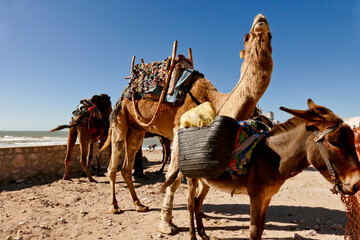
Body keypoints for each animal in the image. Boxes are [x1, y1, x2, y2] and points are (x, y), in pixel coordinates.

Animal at [106, 13, 272, 222]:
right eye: (246, 37)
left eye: (271, 36)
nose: (261, 19)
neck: (215, 101)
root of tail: (122, 95)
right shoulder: (180, 129)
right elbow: (174, 179)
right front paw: (167, 222)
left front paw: (198, 212)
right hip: (120, 121)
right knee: (113, 164)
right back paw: (114, 206)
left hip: (136, 131)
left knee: (126, 167)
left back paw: (139, 205)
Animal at [183, 99, 360, 240]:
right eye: (335, 142)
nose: (357, 184)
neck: (272, 159)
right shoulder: (256, 197)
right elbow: (254, 231)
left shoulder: (267, 197)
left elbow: (261, 229)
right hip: (191, 178)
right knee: (190, 205)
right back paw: (193, 236)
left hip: (206, 180)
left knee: (198, 203)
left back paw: (203, 234)